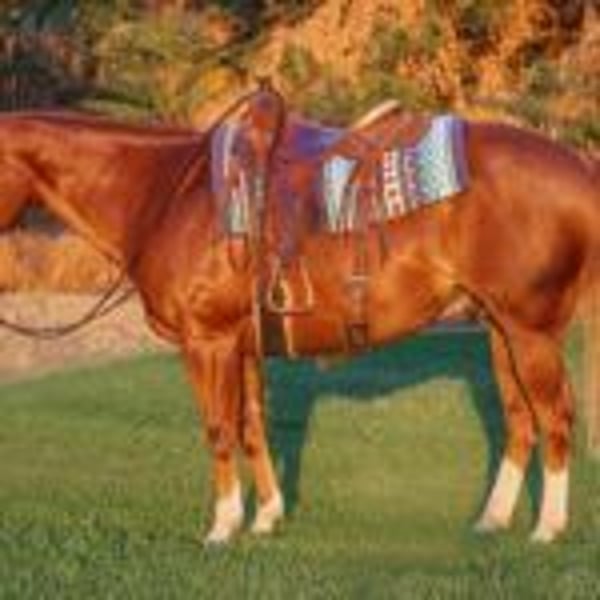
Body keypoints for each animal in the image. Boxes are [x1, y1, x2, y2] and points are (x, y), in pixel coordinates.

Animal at [0, 86, 598, 546]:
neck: (166, 194)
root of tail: (579, 166)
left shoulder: (208, 342)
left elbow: (219, 429)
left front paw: (222, 528)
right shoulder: (241, 343)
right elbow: (252, 426)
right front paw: (266, 517)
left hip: (531, 331)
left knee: (555, 418)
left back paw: (547, 529)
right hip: (499, 327)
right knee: (520, 421)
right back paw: (492, 520)